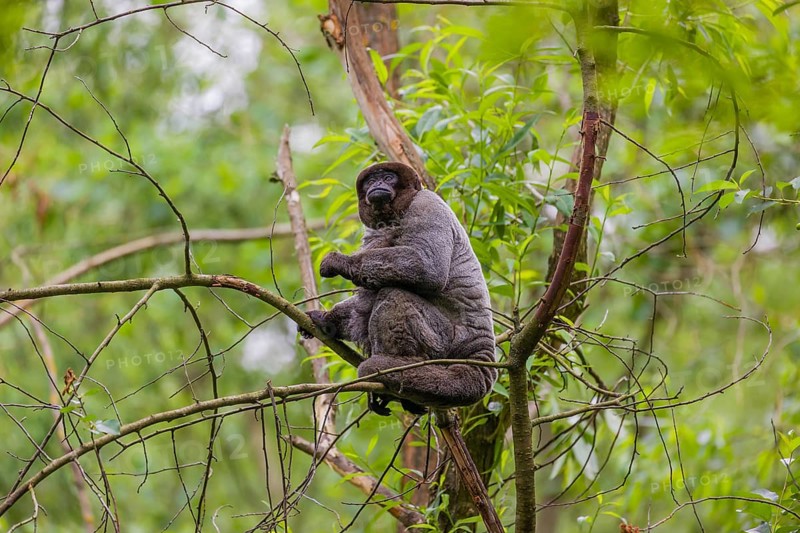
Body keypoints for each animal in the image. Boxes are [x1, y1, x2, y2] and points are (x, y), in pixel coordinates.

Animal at [300, 162, 497, 415]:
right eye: (369, 181)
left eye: (387, 177)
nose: (376, 184)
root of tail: (482, 344)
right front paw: (325, 319)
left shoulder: (426, 204)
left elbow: (427, 267)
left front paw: (339, 261)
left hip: (445, 340)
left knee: (394, 293)